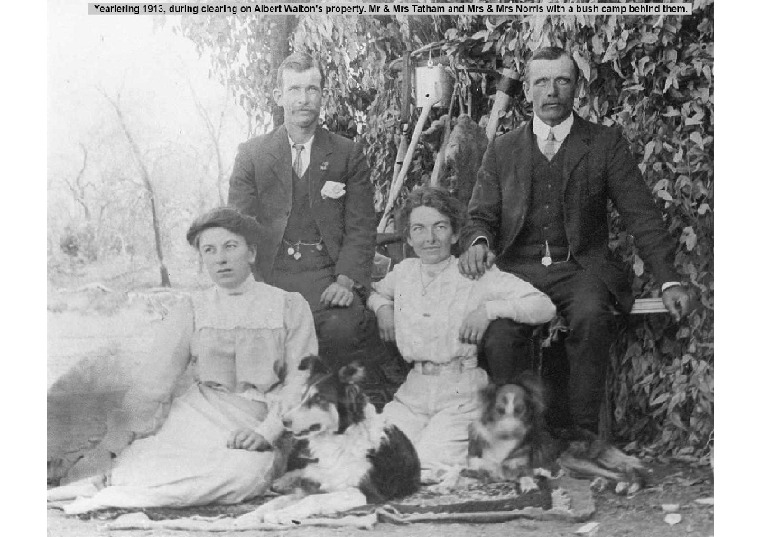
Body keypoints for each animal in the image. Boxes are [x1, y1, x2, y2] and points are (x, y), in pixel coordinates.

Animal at [235, 356, 418, 524]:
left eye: (319, 399)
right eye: (302, 397)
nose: (283, 421)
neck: (337, 441)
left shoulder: (364, 493)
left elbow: (313, 499)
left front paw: (281, 514)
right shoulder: (313, 485)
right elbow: (275, 502)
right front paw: (245, 518)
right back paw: (283, 481)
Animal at [466, 374, 644, 492]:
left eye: (520, 411)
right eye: (499, 410)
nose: (511, 431)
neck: (502, 441)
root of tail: (595, 436)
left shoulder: (524, 466)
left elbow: (525, 475)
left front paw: (529, 485)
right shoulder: (476, 463)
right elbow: (477, 471)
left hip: (569, 459)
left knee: (621, 472)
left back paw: (625, 484)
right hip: (571, 467)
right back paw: (601, 483)